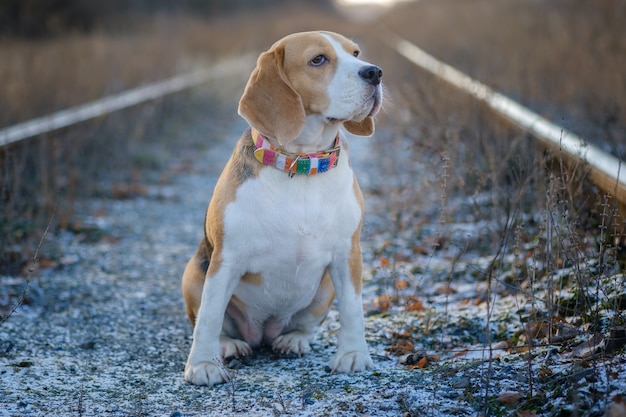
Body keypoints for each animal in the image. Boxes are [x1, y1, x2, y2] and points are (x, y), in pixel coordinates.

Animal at [182, 30, 380, 386]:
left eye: (356, 53)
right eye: (318, 59)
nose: (375, 72)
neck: (301, 164)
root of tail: (263, 332)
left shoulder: (348, 254)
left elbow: (353, 310)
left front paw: (353, 354)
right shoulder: (226, 260)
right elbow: (209, 316)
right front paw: (203, 364)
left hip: (325, 289)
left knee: (304, 326)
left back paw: (293, 340)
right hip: (193, 274)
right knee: (213, 320)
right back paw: (229, 345)